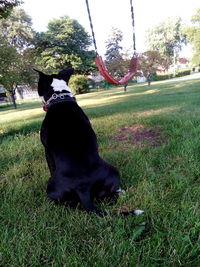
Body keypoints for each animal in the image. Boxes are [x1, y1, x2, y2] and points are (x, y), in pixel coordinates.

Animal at [34, 68, 144, 217]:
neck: (60, 97)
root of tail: (83, 188)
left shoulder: (47, 150)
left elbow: (50, 165)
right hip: (113, 172)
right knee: (106, 197)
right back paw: (120, 191)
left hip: (51, 188)